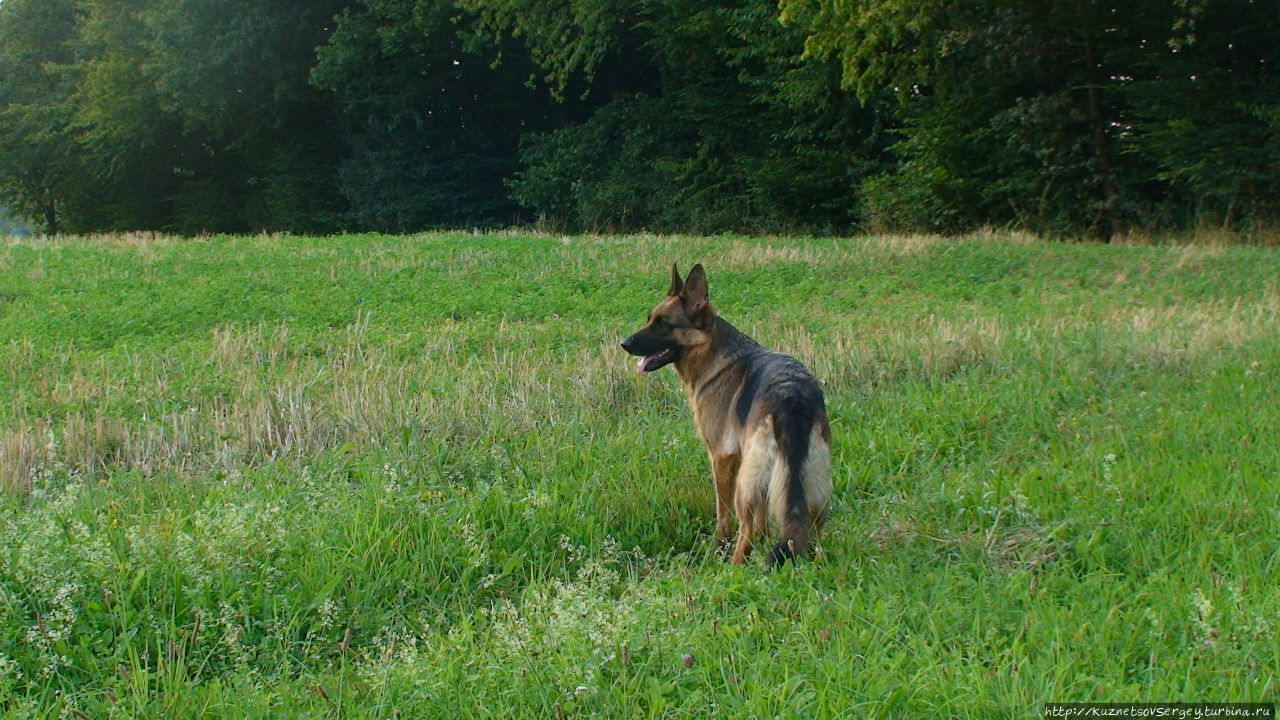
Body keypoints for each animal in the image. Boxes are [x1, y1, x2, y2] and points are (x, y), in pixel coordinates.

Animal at [622, 263, 834, 566]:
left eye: (662, 324)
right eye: (650, 319)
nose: (624, 344)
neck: (711, 351)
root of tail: (793, 399)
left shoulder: (722, 458)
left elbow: (723, 513)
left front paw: (718, 546)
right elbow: (762, 522)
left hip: (746, 485)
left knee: (746, 528)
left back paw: (734, 566)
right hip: (811, 485)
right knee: (809, 531)